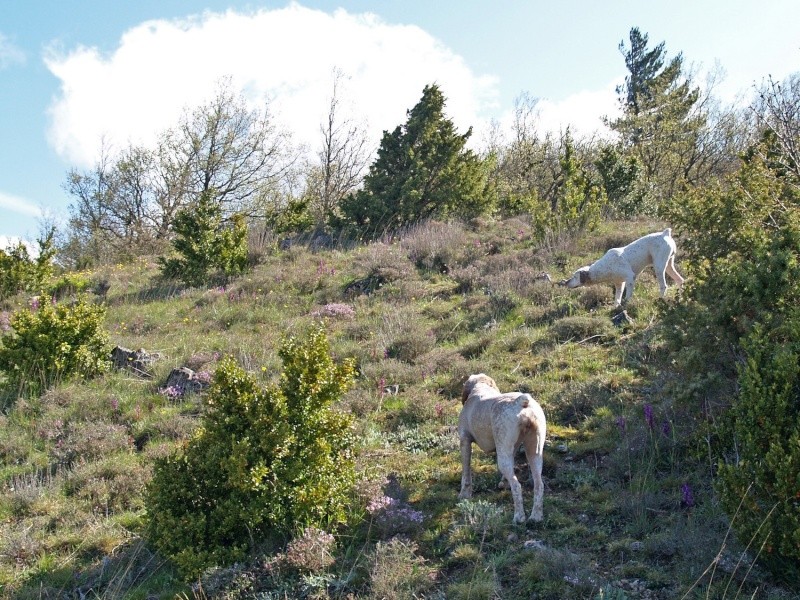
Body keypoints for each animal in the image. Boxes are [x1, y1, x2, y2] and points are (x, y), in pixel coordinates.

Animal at [460, 372, 548, 524]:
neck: (480, 387)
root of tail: (521, 402)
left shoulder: (464, 440)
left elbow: (466, 473)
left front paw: (464, 495)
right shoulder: (512, 447)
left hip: (503, 458)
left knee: (517, 486)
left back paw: (519, 517)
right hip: (534, 452)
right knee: (539, 485)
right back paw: (536, 516)